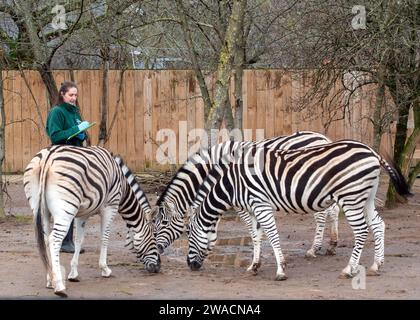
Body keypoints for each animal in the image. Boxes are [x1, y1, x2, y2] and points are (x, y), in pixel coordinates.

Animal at [23, 146, 161, 298]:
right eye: (154, 236)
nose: (158, 268)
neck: (123, 187)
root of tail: (47, 157)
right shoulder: (110, 206)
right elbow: (105, 237)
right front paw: (105, 269)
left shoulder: (81, 215)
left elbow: (79, 240)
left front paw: (73, 274)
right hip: (66, 209)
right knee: (54, 239)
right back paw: (59, 286)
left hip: (41, 209)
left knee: (46, 240)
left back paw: (50, 279)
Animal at [153, 131, 340, 272]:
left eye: (163, 223)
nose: (159, 249)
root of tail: (323, 138)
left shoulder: (238, 199)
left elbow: (251, 228)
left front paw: (254, 258)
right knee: (334, 210)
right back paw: (332, 245)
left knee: (321, 215)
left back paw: (314, 249)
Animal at [186, 140, 410, 280]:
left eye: (188, 234)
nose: (190, 266)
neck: (232, 184)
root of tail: (372, 152)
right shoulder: (253, 208)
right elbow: (256, 236)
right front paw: (253, 266)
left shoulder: (261, 204)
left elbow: (272, 236)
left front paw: (280, 270)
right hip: (367, 197)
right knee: (378, 224)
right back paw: (376, 265)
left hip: (352, 197)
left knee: (362, 231)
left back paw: (349, 270)